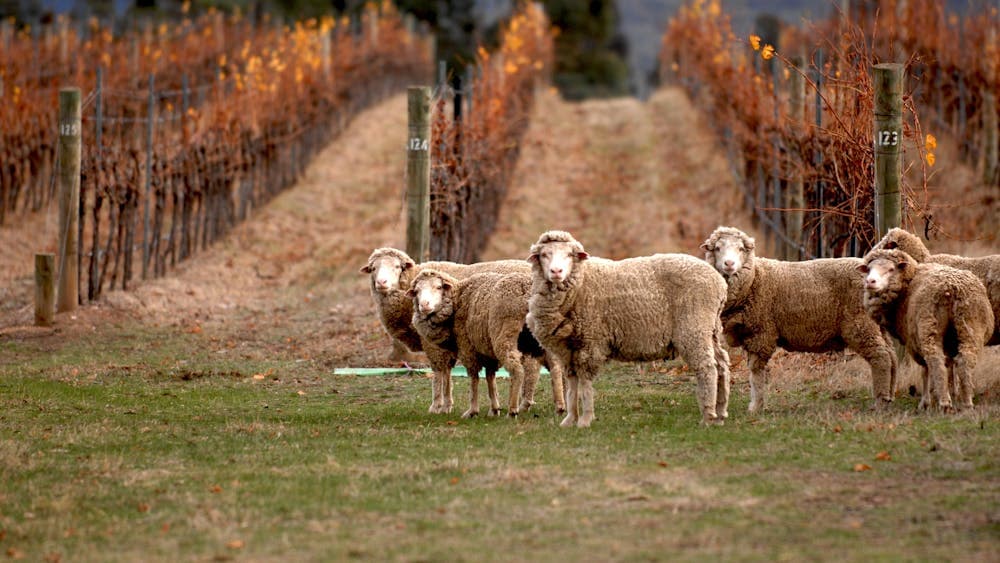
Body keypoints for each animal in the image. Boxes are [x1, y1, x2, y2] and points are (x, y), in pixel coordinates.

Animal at [360, 248, 548, 414]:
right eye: (373, 268)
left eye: (397, 266)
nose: (381, 283)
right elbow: (448, 371)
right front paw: (447, 404)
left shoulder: (432, 343)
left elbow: (439, 371)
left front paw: (436, 405)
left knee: (531, 368)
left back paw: (524, 403)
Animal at [404, 268, 564, 418]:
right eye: (416, 291)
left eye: (438, 287)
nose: (424, 305)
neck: (457, 300)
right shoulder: (486, 349)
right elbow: (489, 377)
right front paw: (494, 409)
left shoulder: (468, 347)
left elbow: (474, 378)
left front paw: (472, 411)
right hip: (539, 336)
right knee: (555, 367)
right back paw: (560, 407)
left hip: (504, 334)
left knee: (517, 370)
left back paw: (512, 410)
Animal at [528, 229, 732, 428]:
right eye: (544, 254)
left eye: (570, 255)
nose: (556, 271)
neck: (579, 284)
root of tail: (719, 282)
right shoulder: (568, 350)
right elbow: (572, 387)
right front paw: (569, 420)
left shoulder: (590, 342)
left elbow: (585, 385)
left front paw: (585, 420)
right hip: (710, 329)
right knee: (721, 365)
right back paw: (720, 413)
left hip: (694, 326)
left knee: (707, 368)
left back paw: (708, 416)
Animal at [700, 226, 896, 414]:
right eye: (717, 248)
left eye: (740, 249)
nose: (729, 264)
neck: (754, 279)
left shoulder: (761, 333)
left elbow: (756, 373)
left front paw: (755, 407)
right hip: (877, 324)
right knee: (892, 355)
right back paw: (889, 396)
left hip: (861, 324)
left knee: (881, 356)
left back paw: (880, 402)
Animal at [856, 250, 996, 410]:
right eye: (868, 269)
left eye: (891, 269)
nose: (870, 282)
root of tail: (952, 288)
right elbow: (949, 365)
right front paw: (948, 393)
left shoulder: (914, 340)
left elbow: (925, 370)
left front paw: (926, 401)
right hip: (971, 326)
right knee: (964, 360)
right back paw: (967, 403)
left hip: (929, 327)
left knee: (935, 360)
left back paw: (944, 403)